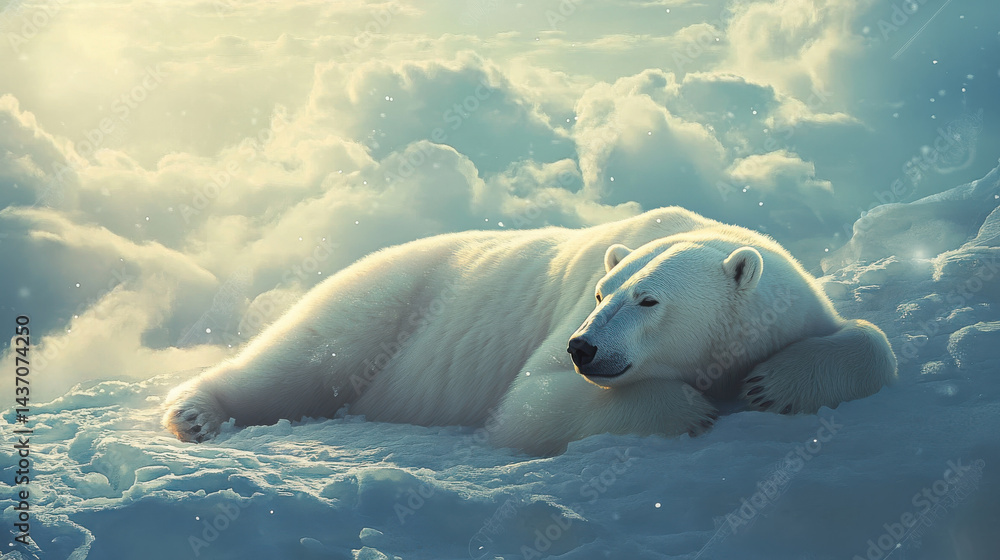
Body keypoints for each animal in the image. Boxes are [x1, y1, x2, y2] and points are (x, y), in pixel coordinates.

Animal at [163, 206, 897, 455]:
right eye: (602, 294)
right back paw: (196, 413)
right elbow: (530, 401)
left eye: (649, 299)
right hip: (384, 308)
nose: (585, 346)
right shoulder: (559, 331)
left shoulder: (792, 307)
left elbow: (872, 342)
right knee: (301, 359)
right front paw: (690, 407)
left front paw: (772, 384)